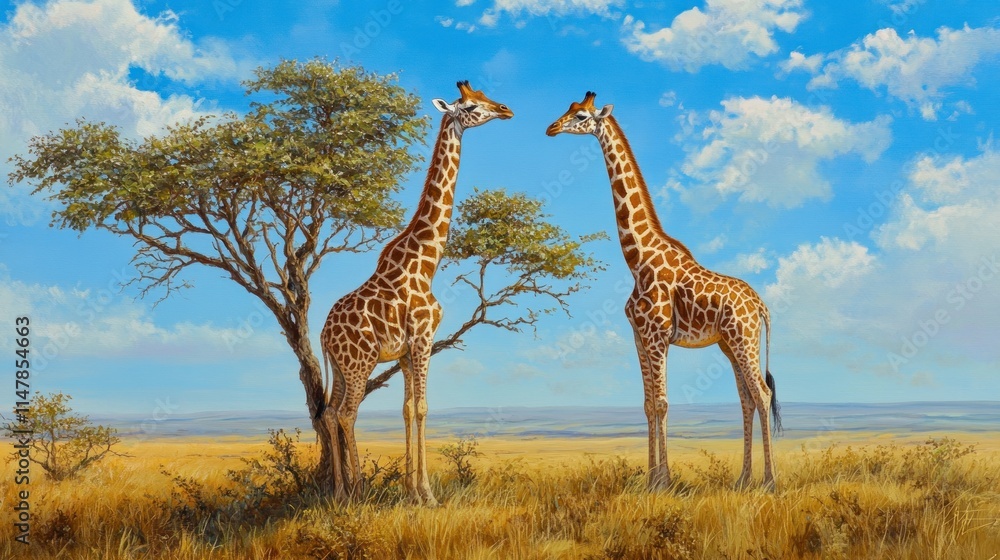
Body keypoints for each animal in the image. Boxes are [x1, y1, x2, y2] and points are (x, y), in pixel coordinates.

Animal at [320, 81, 512, 505]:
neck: (426, 263)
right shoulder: (423, 338)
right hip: (359, 363)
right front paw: (428, 495)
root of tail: (323, 334)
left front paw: (411, 491)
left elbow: (407, 409)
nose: (505, 110)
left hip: (341, 367)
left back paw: (338, 492)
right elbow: (423, 407)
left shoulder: (406, 352)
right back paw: (357, 491)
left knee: (327, 412)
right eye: (470, 106)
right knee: (346, 413)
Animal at [546, 92, 782, 490]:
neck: (638, 258)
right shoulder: (639, 337)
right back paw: (743, 479)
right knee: (746, 399)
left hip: (744, 340)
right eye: (567, 110)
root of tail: (761, 305)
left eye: (580, 116)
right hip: (728, 344)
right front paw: (650, 479)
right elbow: (646, 404)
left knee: (762, 395)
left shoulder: (657, 336)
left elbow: (662, 403)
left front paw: (664, 481)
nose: (550, 128)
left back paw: (769, 480)